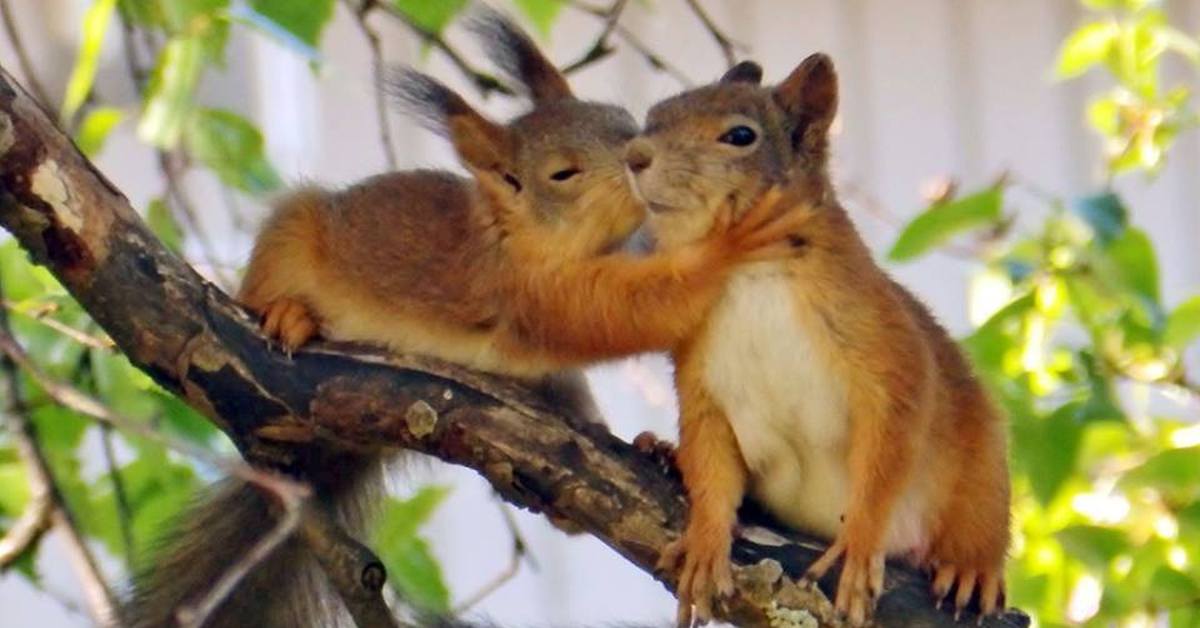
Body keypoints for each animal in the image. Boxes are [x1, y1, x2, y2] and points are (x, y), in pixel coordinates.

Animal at [119, 9, 806, 628]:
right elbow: (613, 312)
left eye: (624, 122)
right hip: (291, 235)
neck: (517, 233)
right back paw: (287, 314)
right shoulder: (525, 293)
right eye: (562, 173)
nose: (642, 159)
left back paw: (640, 453)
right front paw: (728, 246)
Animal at [628, 56, 1012, 624]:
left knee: (980, 513)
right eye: (653, 116)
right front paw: (704, 541)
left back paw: (971, 567)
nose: (634, 156)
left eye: (740, 135)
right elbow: (711, 463)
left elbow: (891, 438)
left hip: (979, 466)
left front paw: (859, 540)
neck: (747, 271)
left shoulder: (884, 345)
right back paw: (665, 453)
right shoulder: (701, 379)